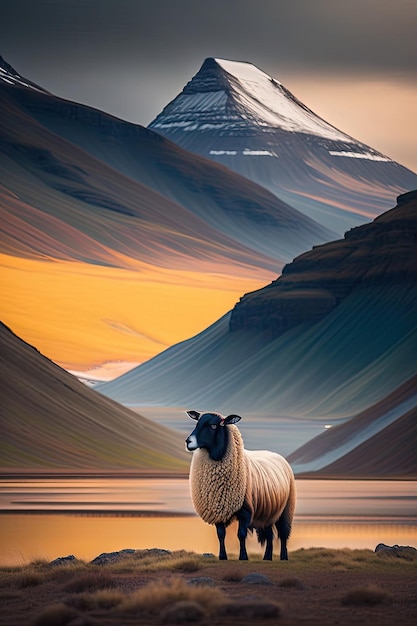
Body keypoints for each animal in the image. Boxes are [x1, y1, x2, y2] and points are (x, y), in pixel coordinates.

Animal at [185, 410, 296, 560]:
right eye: (197, 423)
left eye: (213, 426)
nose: (188, 441)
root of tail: (278, 456)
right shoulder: (217, 508)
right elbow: (221, 535)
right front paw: (222, 556)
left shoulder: (246, 512)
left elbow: (241, 535)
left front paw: (243, 556)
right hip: (268, 510)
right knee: (269, 534)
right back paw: (267, 557)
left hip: (286, 508)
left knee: (283, 534)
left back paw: (284, 557)